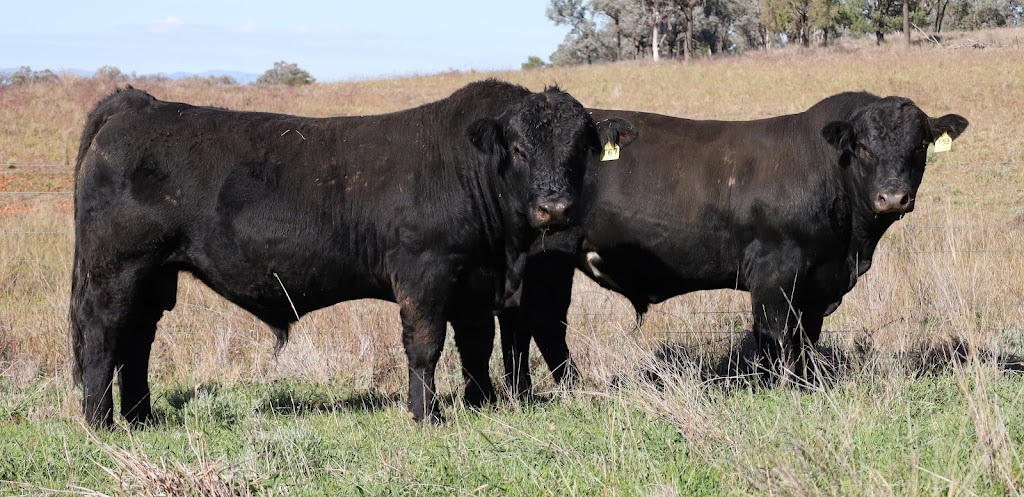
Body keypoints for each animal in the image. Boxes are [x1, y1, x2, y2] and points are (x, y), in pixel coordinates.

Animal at [68, 79, 630, 424]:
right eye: (517, 148)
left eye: (580, 148)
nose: (554, 207)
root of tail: (139, 104)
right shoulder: (424, 273)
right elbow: (425, 345)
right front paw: (427, 415)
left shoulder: (474, 280)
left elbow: (476, 345)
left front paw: (481, 403)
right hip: (116, 269)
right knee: (104, 333)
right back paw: (101, 422)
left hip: (153, 275)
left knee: (137, 340)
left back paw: (142, 416)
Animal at [495, 91, 966, 389]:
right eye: (864, 148)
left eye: (919, 145)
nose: (893, 197)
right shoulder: (775, 272)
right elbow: (775, 335)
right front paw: (780, 386)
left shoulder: (817, 282)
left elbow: (806, 337)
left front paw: (807, 381)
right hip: (550, 254)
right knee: (543, 321)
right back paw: (572, 387)